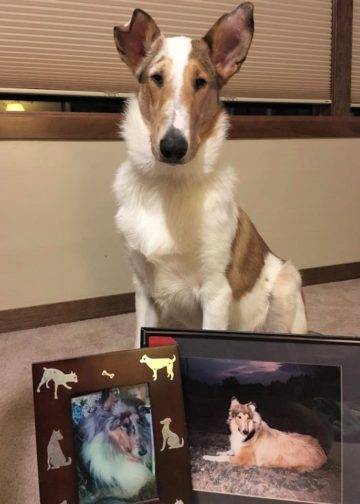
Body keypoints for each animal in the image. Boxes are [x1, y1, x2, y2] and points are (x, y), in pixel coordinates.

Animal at [112, 2, 306, 346]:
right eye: (156, 78)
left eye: (200, 82)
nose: (173, 147)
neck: (169, 185)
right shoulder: (145, 291)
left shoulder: (216, 294)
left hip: (287, 282)